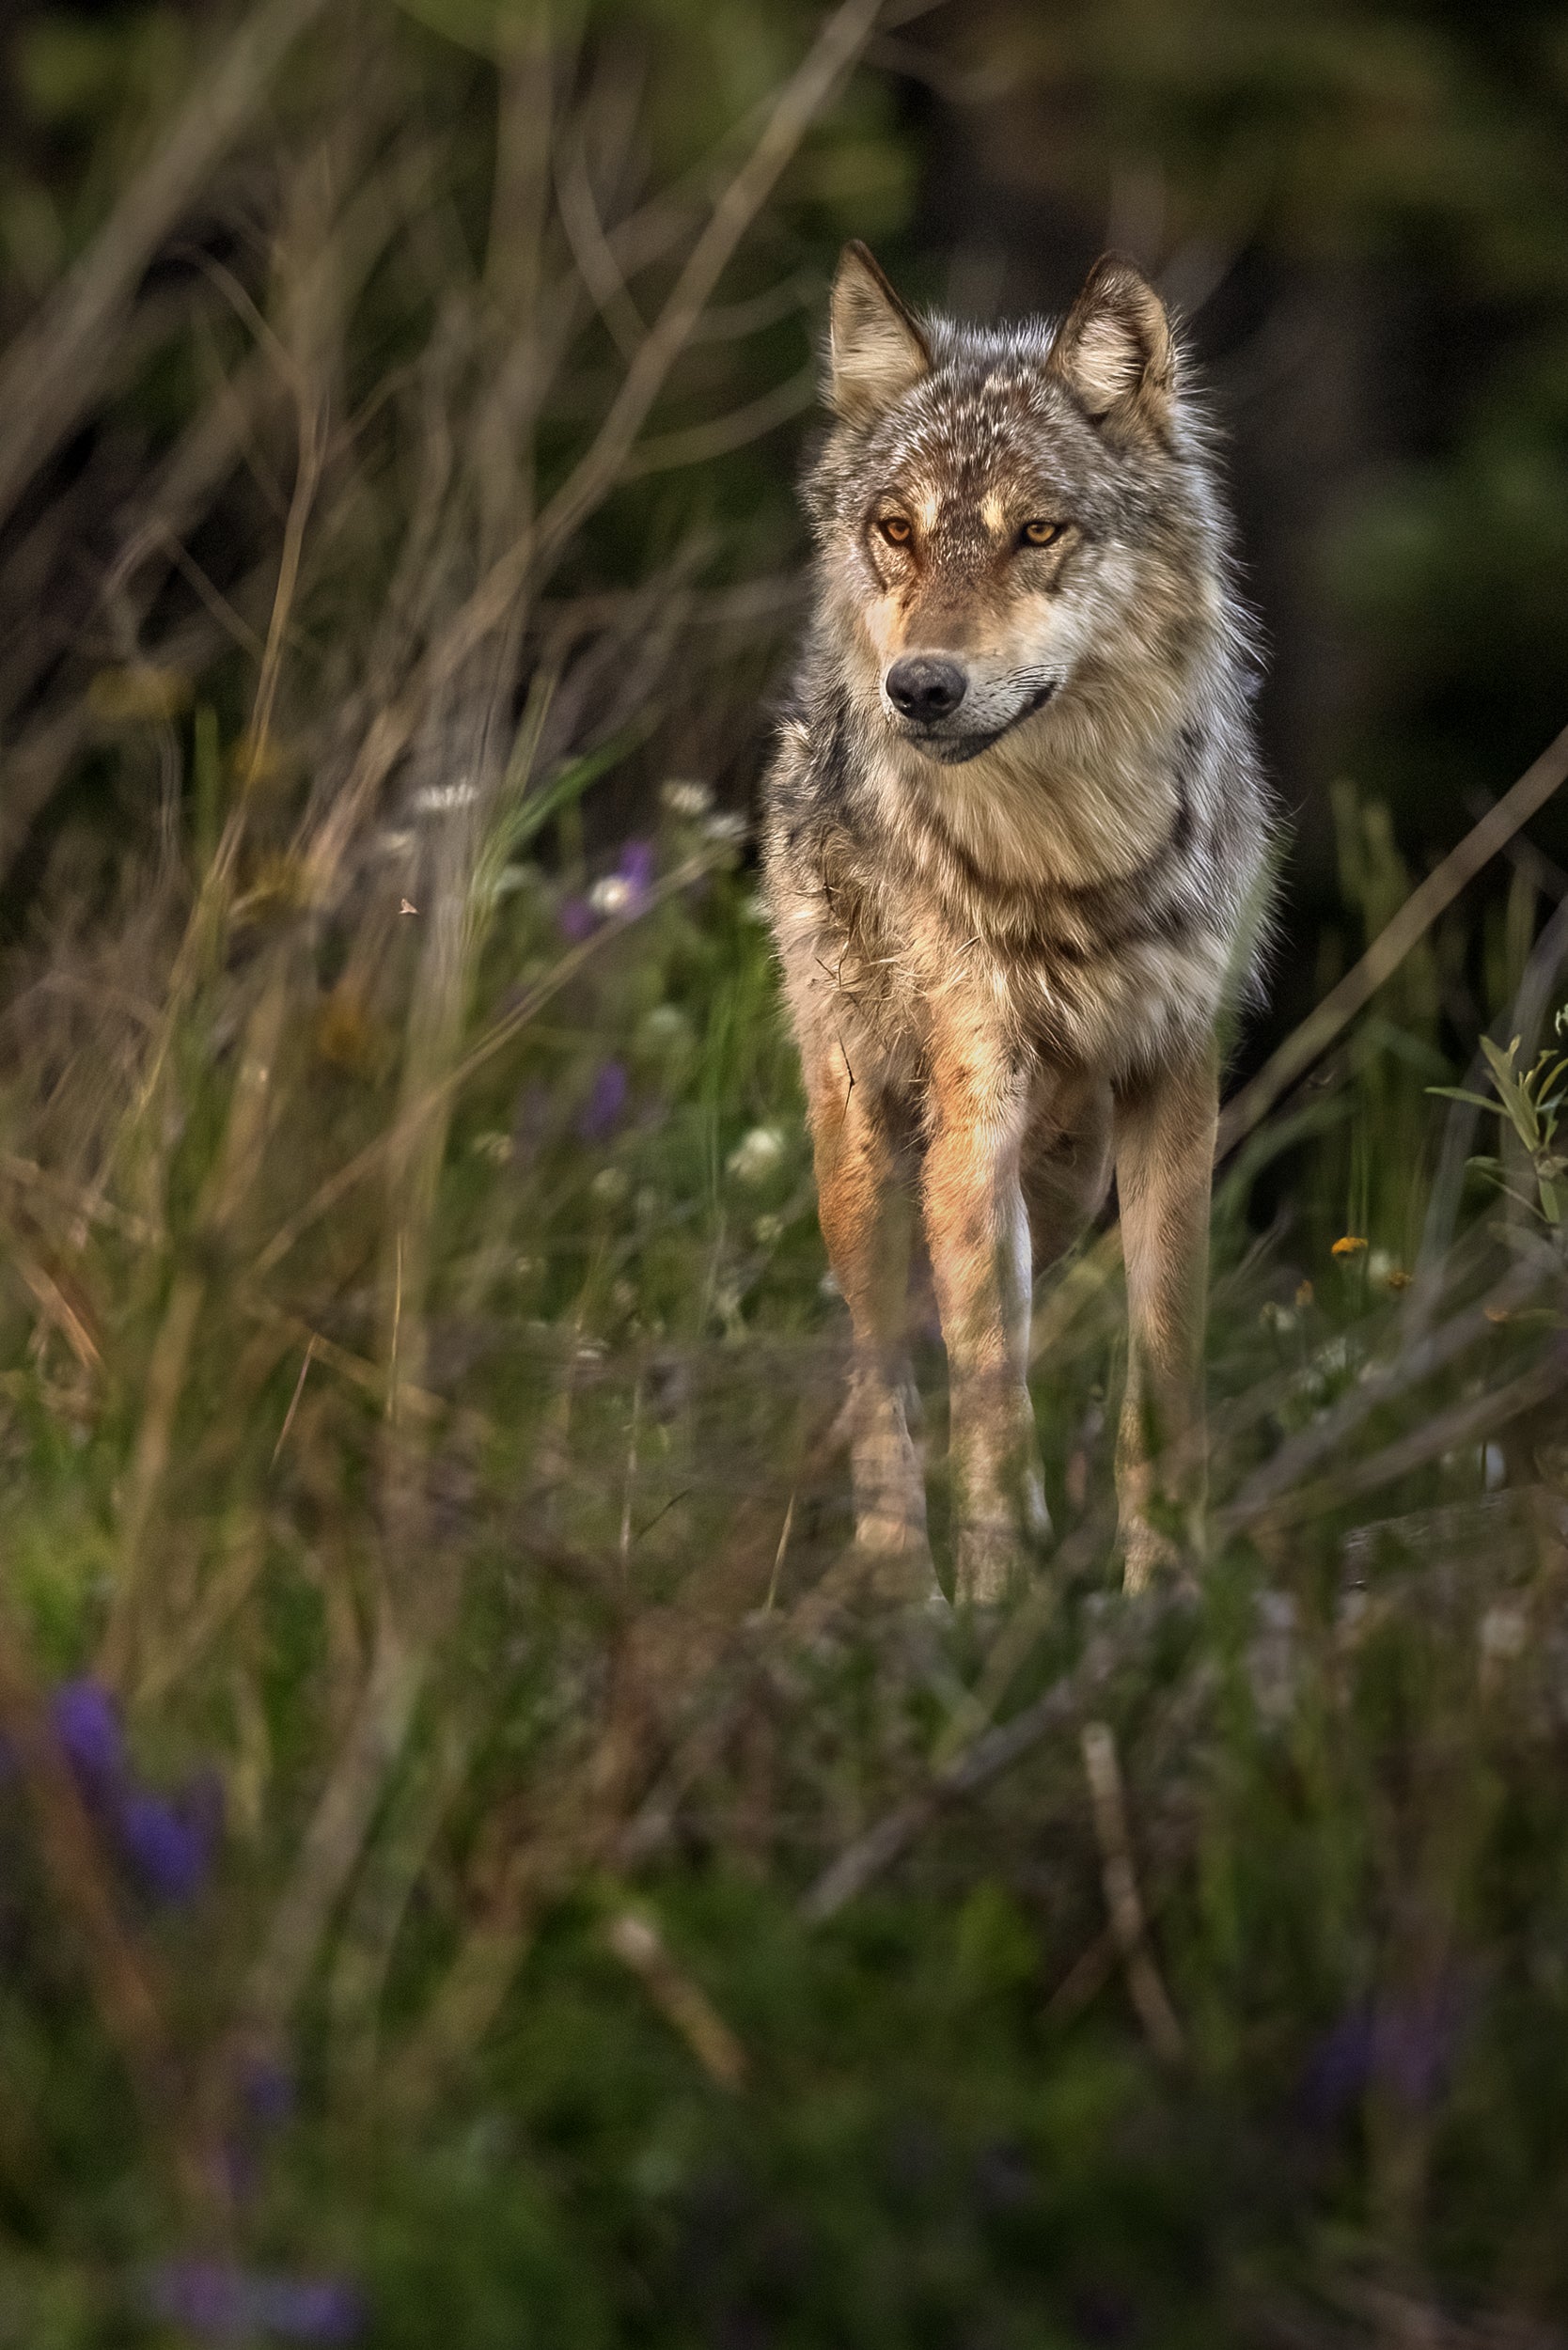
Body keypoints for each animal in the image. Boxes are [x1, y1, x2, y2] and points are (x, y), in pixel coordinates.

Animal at [761, 242, 1274, 1603]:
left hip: (1068, 1166)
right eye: (899, 532)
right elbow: (986, 1391)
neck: (1070, 863)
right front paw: (993, 1593)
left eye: (1036, 532)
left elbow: (1161, 1372)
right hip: (871, 1151)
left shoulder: (1174, 1083)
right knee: (884, 1366)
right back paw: (901, 1583)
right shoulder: (973, 1097)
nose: (922, 689)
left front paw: (1166, 1592)